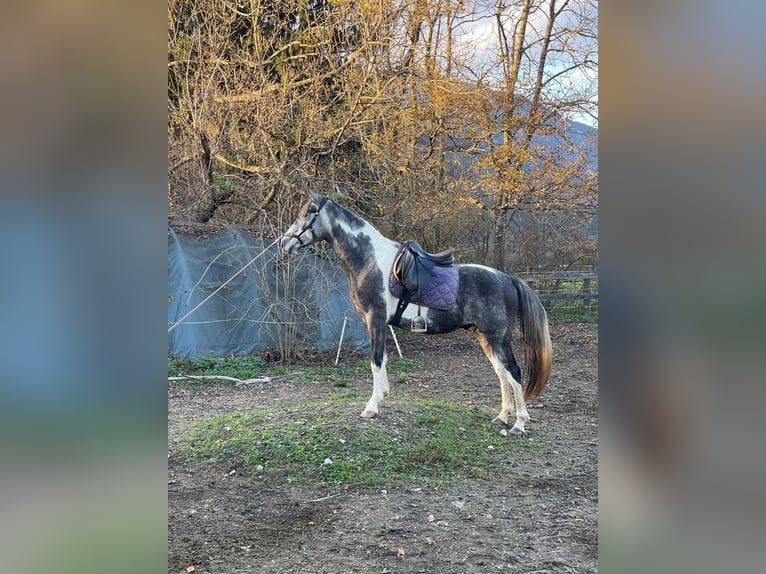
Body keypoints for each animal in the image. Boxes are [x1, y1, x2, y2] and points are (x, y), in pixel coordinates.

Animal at [280, 191, 552, 434]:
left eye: (307, 213)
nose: (284, 243)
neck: (369, 261)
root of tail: (508, 279)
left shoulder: (375, 319)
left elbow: (375, 361)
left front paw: (372, 407)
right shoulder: (378, 323)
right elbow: (383, 359)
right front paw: (382, 397)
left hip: (498, 338)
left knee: (514, 373)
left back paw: (519, 424)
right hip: (484, 336)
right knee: (502, 373)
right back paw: (502, 417)